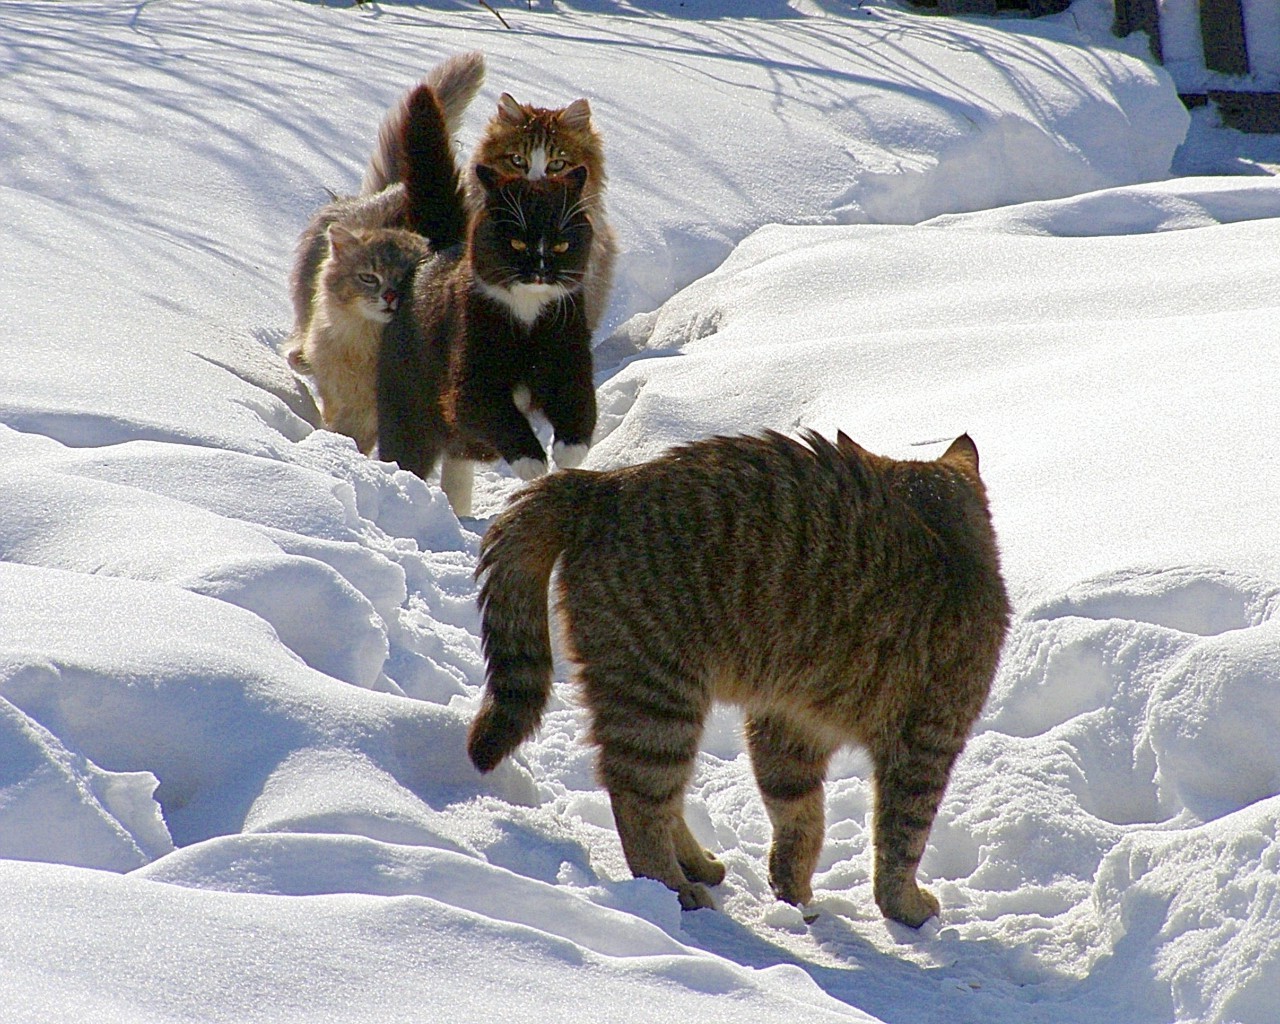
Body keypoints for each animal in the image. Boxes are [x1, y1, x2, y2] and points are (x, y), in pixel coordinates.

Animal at [373, 83, 596, 517]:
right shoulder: (468, 371)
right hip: (406, 403)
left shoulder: (569, 346)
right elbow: (492, 410)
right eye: (517, 242)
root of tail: (442, 245)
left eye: (562, 244)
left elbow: (579, 399)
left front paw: (568, 452)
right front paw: (532, 462)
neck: (527, 314)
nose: (540, 268)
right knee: (410, 450)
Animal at [468, 427, 1008, 921]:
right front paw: (904, 906)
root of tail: (606, 485)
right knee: (636, 798)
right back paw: (671, 885)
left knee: (660, 795)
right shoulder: (925, 746)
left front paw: (792, 887)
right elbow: (901, 842)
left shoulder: (788, 723)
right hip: (658, 699)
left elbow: (799, 815)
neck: (944, 540)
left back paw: (695, 863)